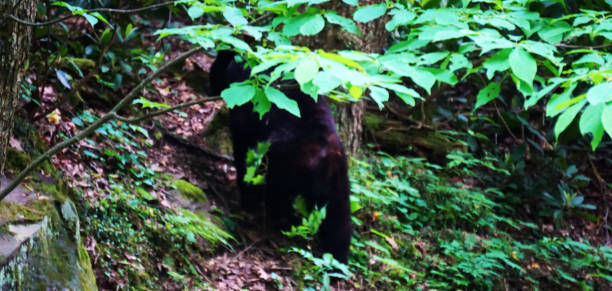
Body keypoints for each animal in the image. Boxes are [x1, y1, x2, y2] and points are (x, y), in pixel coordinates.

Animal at [209, 50, 350, 264]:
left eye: (213, 68)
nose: (210, 83)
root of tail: (324, 156)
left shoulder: (245, 121)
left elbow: (243, 155)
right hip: (338, 180)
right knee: (339, 219)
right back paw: (337, 259)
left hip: (285, 163)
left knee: (275, 192)